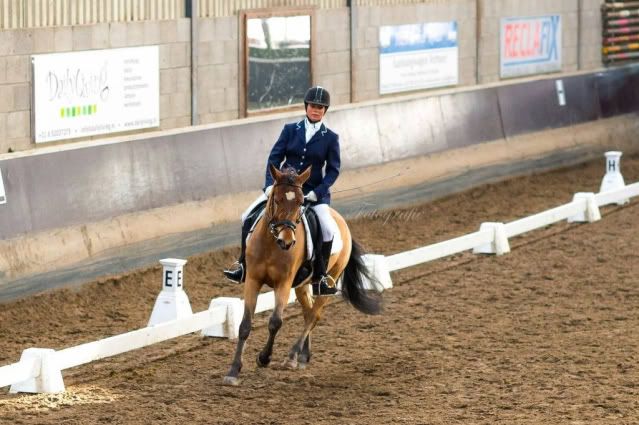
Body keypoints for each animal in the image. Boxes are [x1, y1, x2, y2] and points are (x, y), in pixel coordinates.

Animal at [224, 162, 382, 384]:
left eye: (300, 202)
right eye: (276, 199)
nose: (287, 241)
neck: (271, 244)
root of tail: (340, 219)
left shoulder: (283, 283)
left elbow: (275, 322)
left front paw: (264, 358)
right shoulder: (253, 280)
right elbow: (245, 325)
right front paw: (233, 371)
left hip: (330, 279)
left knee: (314, 315)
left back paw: (292, 356)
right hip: (302, 284)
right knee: (308, 313)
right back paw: (302, 356)